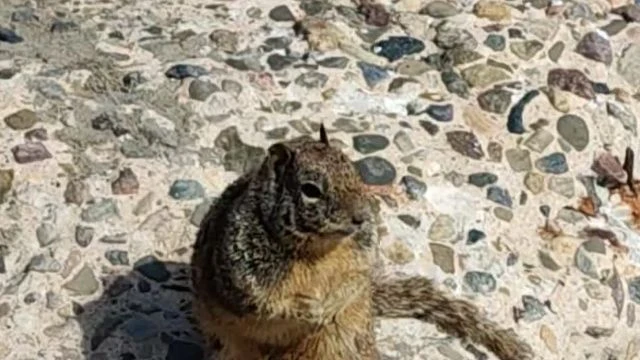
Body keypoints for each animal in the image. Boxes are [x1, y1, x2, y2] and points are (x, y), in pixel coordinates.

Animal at [191, 124, 536, 360]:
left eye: (353, 170)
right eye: (310, 190)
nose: (360, 216)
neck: (314, 252)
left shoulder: (363, 255)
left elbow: (355, 281)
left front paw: (328, 306)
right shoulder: (239, 269)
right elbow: (261, 301)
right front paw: (306, 310)